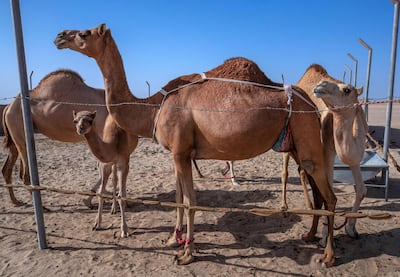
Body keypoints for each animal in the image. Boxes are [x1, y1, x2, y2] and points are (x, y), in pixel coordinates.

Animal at [1, 68, 119, 207]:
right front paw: (93, 198)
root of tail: (8, 107)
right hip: (19, 126)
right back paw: (42, 206)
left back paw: (16, 201)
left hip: (14, 135)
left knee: (7, 168)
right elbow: (106, 168)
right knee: (24, 172)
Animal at [54, 23, 338, 266]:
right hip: (296, 145)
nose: (59, 36)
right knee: (317, 191)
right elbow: (179, 197)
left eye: (84, 33)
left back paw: (328, 256)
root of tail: (312, 104)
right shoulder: (178, 153)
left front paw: (187, 253)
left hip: (306, 135)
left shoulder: (180, 152)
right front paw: (173, 239)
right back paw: (309, 236)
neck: (154, 107)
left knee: (330, 196)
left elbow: (190, 201)